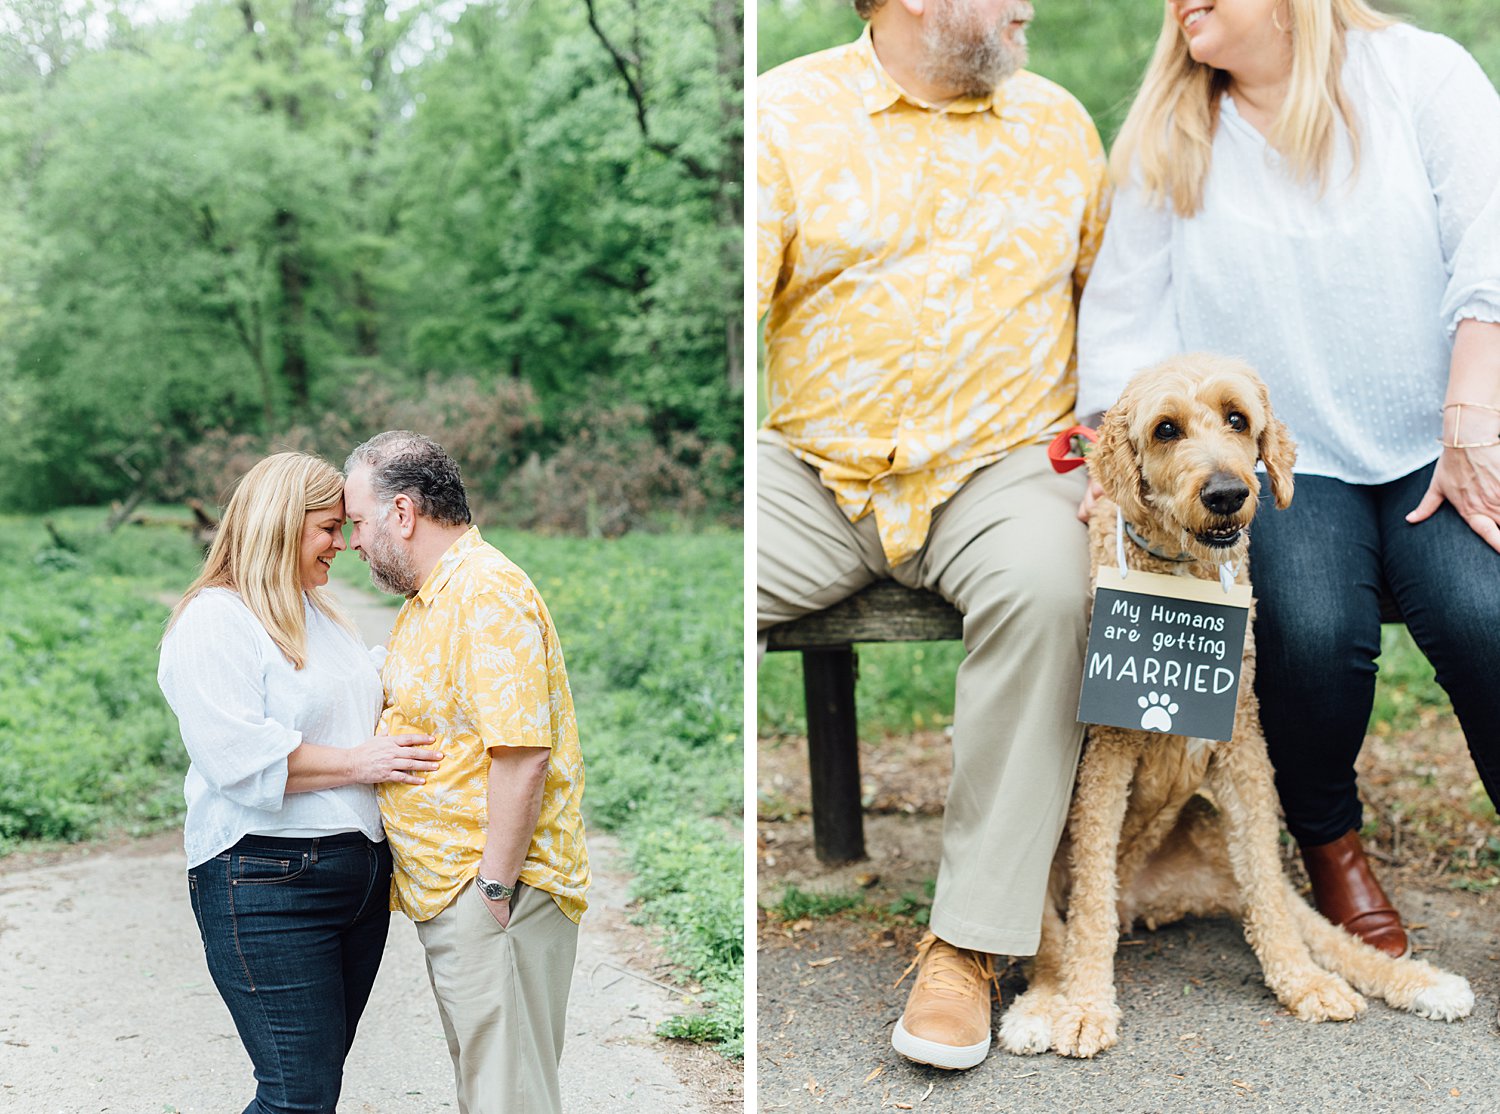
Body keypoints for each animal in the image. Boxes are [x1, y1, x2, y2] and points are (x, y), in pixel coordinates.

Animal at [996, 356, 1476, 1061]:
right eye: (1166, 429)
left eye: (1237, 419)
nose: (1226, 493)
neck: (1181, 574)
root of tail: (1143, 899)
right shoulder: (1107, 756)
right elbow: (1087, 910)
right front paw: (1085, 1008)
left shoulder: (1245, 747)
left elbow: (1274, 902)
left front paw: (1303, 983)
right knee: (1059, 927)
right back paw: (1041, 1007)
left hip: (1218, 853)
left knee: (1306, 919)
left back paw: (1415, 980)